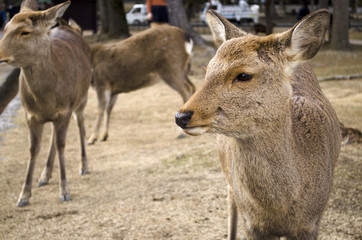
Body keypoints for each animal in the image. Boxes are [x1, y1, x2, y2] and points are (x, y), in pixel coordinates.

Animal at [0, 0, 92, 206]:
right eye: (5, 28)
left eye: (25, 32)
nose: (0, 56)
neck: (46, 99)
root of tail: (70, 27)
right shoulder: (30, 115)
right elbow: (34, 149)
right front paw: (23, 196)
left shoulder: (65, 110)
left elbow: (62, 145)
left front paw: (65, 192)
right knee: (52, 136)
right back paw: (44, 175)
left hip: (81, 100)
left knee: (81, 125)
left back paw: (84, 166)